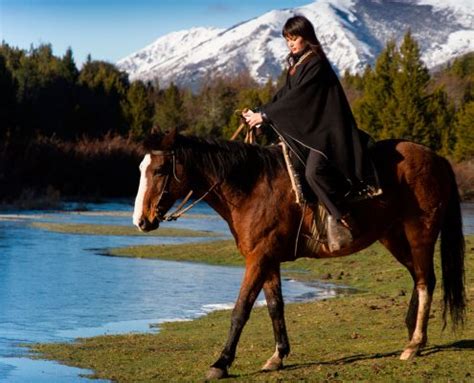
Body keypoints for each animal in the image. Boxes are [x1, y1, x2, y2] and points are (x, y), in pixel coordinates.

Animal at [131, 127, 464, 380]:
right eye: (141, 169)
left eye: (159, 170)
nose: (141, 221)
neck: (253, 187)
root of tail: (437, 158)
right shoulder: (268, 260)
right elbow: (275, 306)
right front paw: (277, 356)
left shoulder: (258, 259)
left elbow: (241, 310)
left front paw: (221, 363)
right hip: (393, 237)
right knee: (419, 278)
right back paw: (412, 335)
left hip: (420, 233)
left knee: (426, 281)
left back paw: (415, 344)